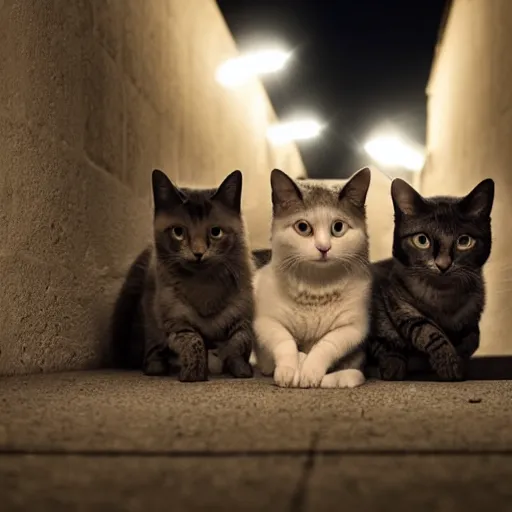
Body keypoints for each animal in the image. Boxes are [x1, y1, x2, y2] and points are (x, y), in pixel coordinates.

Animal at [112, 170, 256, 382]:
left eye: (216, 232)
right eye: (178, 232)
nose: (198, 253)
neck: (204, 284)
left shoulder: (242, 315)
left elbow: (241, 342)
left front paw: (240, 369)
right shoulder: (176, 321)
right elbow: (193, 341)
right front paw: (193, 373)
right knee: (153, 347)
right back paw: (155, 368)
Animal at [253, 168, 370, 388]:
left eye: (338, 227)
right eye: (303, 227)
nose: (323, 248)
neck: (316, 288)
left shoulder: (353, 328)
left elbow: (326, 345)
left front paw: (310, 371)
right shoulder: (265, 321)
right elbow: (284, 341)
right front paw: (289, 370)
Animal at [366, 176, 494, 380]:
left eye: (464, 241)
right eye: (421, 240)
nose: (443, 264)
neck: (443, 298)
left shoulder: (472, 319)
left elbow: (473, 338)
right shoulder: (393, 302)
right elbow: (426, 329)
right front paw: (448, 363)